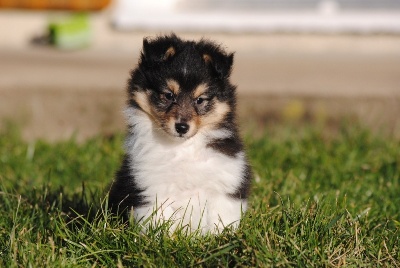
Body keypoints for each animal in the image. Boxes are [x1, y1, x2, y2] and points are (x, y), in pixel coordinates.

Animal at [108, 34, 253, 234]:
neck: (184, 148)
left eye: (200, 100)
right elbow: (158, 221)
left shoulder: (225, 183)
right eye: (169, 95)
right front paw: (161, 238)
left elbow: (221, 220)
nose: (182, 127)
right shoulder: (151, 187)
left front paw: (222, 238)